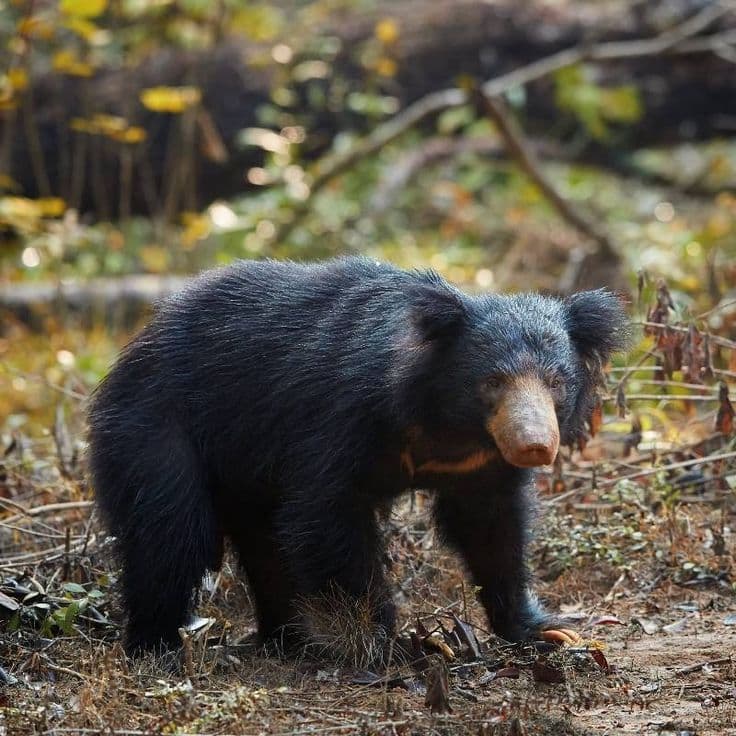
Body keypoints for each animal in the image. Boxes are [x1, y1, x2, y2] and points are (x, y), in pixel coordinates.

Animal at [86, 257, 629, 656]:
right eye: (493, 382)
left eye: (556, 383)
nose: (534, 445)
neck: (448, 428)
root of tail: (134, 347)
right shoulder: (339, 418)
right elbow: (327, 517)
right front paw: (395, 643)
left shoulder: (480, 465)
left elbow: (491, 529)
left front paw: (548, 630)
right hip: (156, 429)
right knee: (171, 532)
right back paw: (157, 646)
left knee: (263, 543)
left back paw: (290, 640)